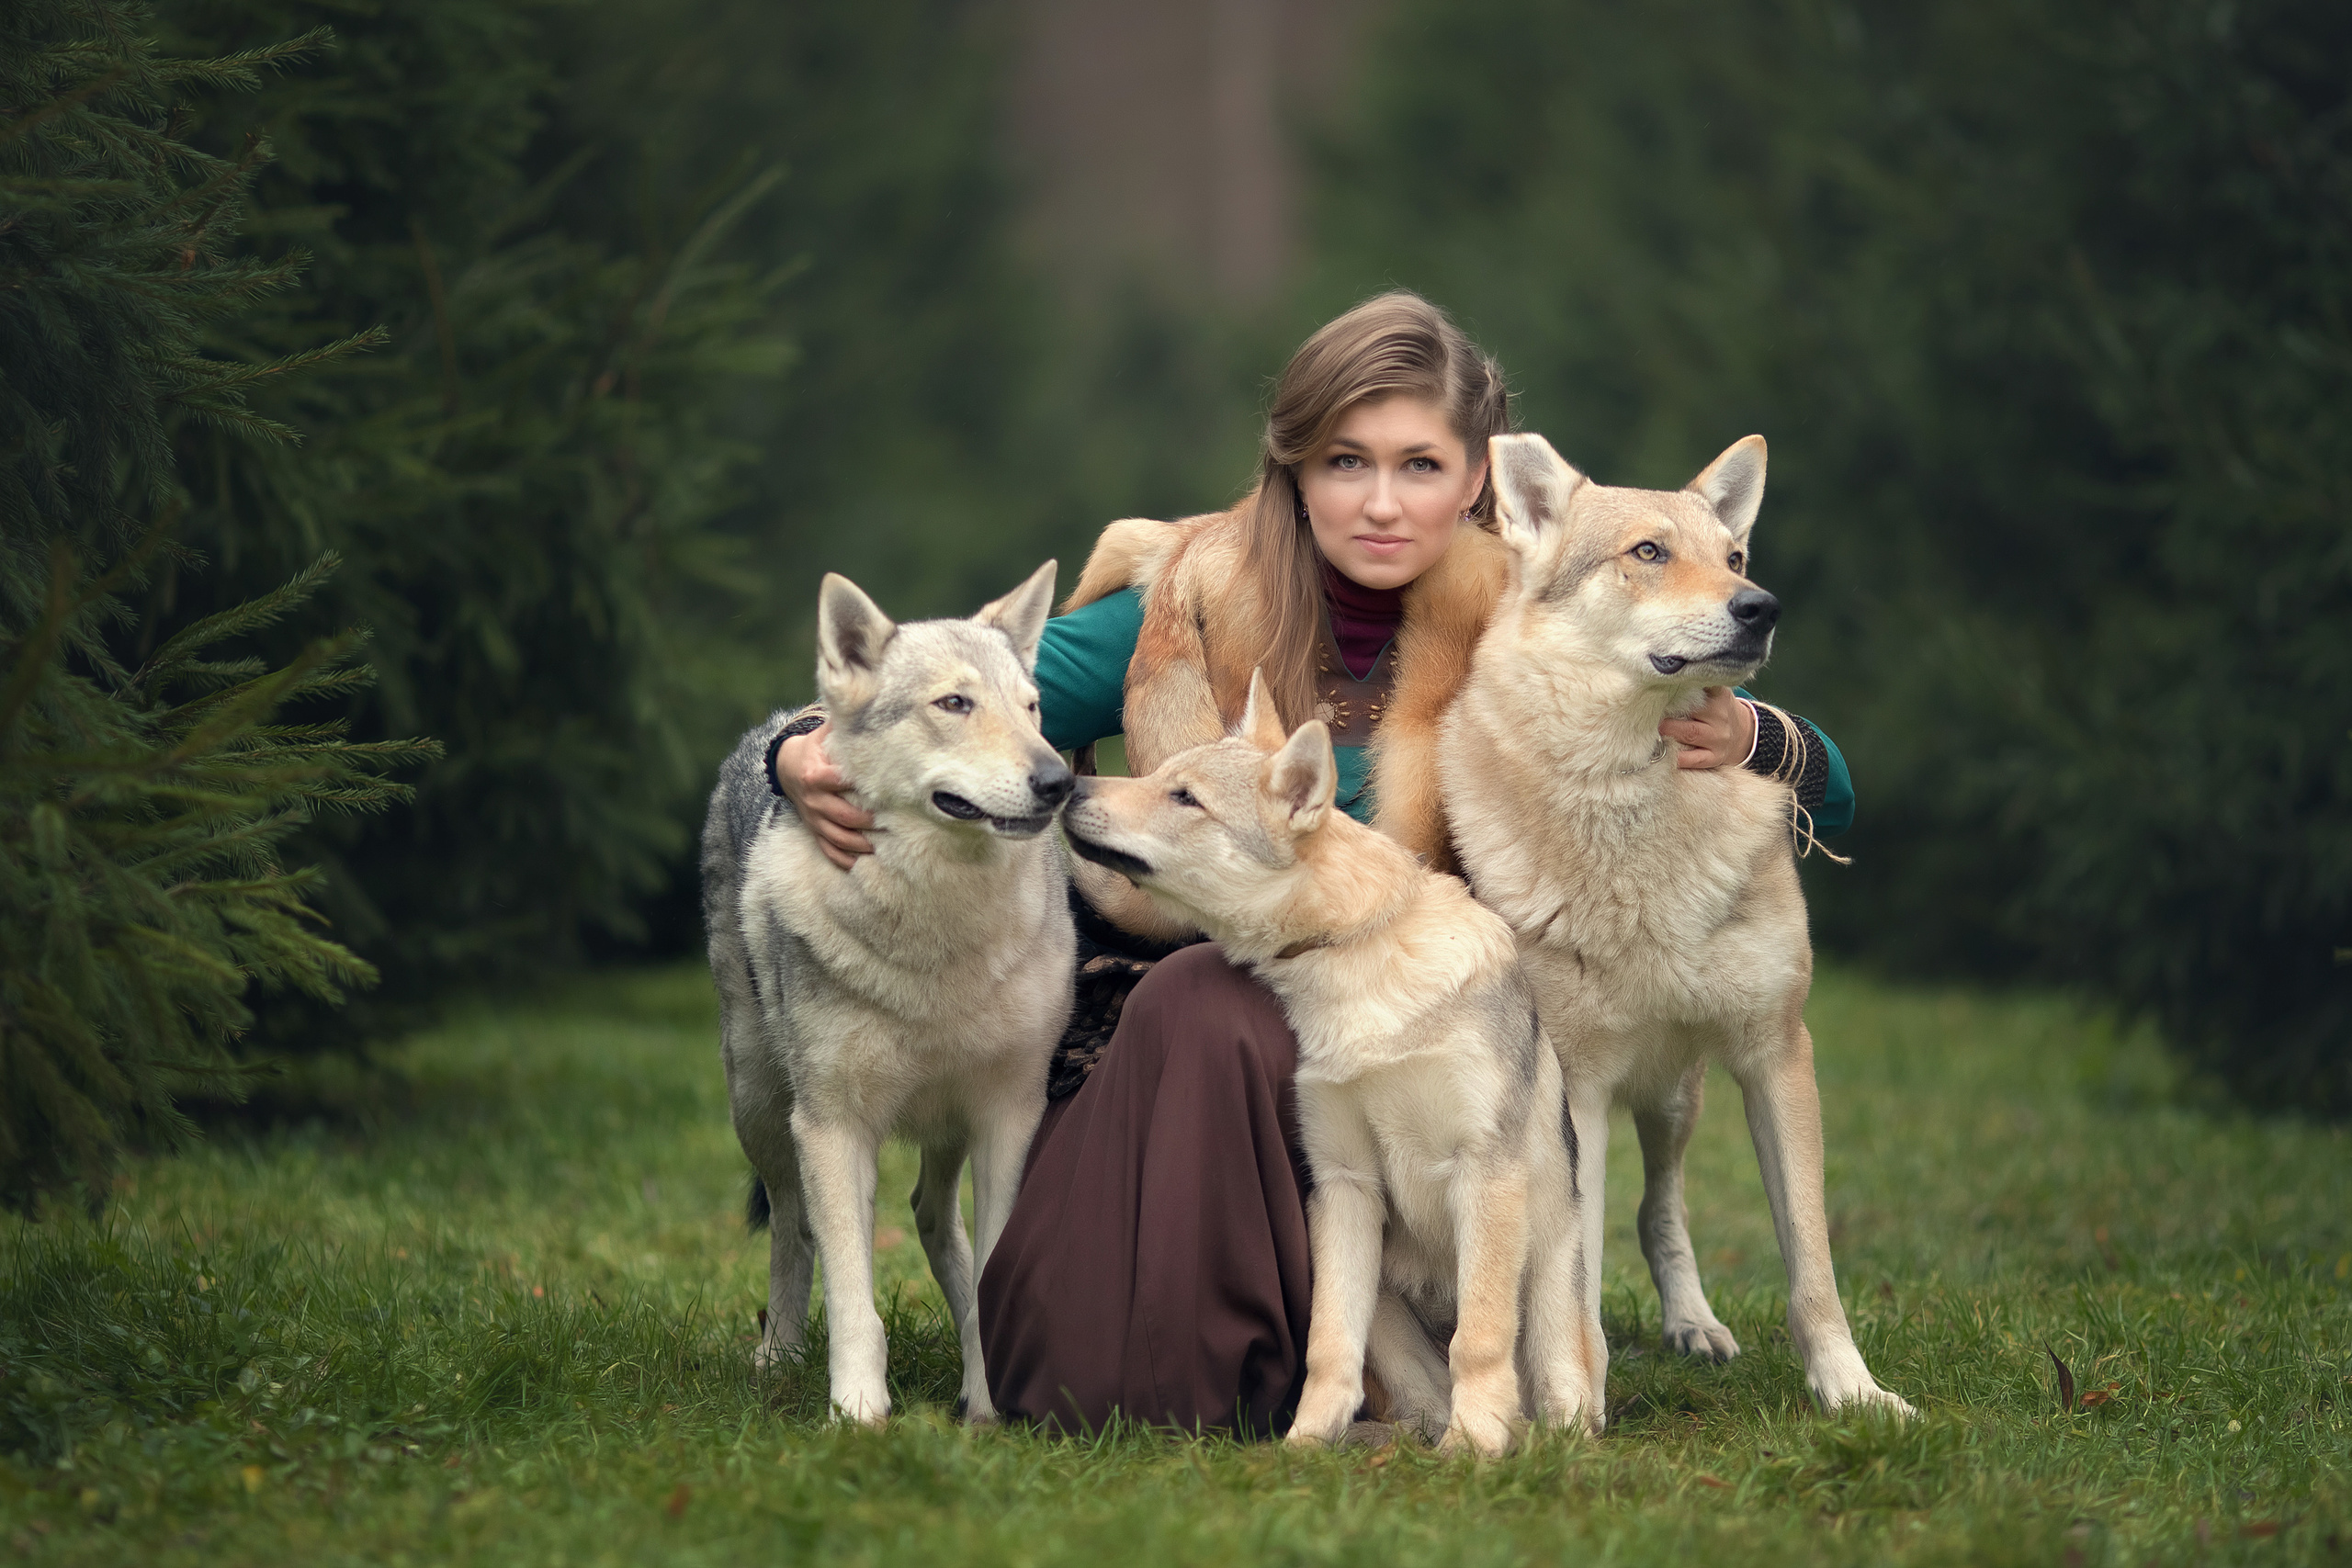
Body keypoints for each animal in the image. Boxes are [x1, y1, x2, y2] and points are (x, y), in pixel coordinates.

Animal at [701, 561, 1076, 1425]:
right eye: (955, 703)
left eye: (1032, 707)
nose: (1059, 781)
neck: (936, 938)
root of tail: (780, 718)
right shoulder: (834, 1126)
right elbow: (853, 1297)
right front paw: (858, 1413)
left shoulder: (1009, 1114)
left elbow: (992, 1269)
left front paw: (988, 1407)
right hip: (762, 1109)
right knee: (794, 1230)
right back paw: (779, 1357)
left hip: (945, 1130)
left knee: (935, 1221)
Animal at [1061, 671, 1601, 1455]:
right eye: (1159, 776)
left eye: (1184, 796)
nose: (1066, 787)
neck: (1356, 956)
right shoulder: (1343, 1183)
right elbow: (1327, 1345)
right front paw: (1305, 1444)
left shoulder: (1485, 1171)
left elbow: (1479, 1336)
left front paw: (1475, 1447)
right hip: (1388, 1309)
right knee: (1416, 1399)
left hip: (1553, 1274)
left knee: (1557, 1389)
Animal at [1440, 433, 1912, 1418]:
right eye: (1649, 552)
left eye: (1732, 558)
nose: (1761, 606)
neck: (1634, 792)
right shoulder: (1576, 1092)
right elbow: (1576, 1279)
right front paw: (1577, 1409)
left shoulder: (1778, 1053)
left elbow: (1812, 1266)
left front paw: (1853, 1393)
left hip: (1674, 1098)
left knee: (1662, 1208)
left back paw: (1694, 1325)